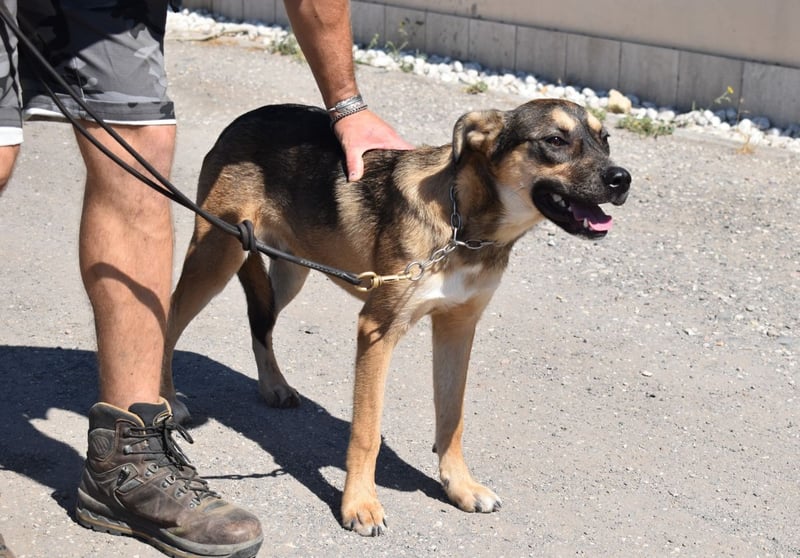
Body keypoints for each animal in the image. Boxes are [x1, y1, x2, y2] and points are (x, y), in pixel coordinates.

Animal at [161, 99, 631, 536]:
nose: (622, 178)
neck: (463, 227)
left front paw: (459, 486)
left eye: (605, 139)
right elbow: (366, 433)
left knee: (262, 320)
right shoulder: (376, 330)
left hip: (291, 268)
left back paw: (273, 384)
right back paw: (167, 398)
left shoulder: (458, 329)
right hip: (217, 254)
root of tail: (247, 117)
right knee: (171, 315)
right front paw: (360, 505)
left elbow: (452, 418)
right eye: (555, 140)